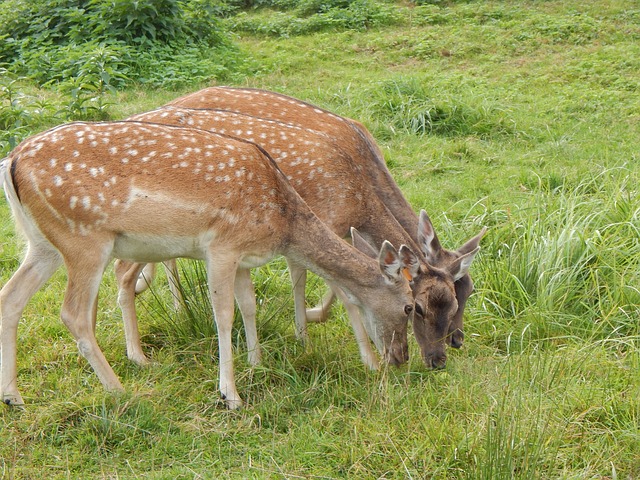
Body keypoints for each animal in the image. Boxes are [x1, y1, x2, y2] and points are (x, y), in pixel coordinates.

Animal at [0, 121, 420, 408]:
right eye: (409, 306)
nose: (401, 359)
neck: (282, 220)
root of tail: (11, 161)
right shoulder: (221, 246)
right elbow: (224, 314)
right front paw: (230, 394)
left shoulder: (244, 258)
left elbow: (249, 305)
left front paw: (256, 364)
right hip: (84, 239)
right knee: (73, 313)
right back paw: (119, 389)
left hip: (43, 244)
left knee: (11, 297)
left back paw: (13, 396)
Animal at [117, 107, 480, 370]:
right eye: (416, 307)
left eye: (462, 297)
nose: (442, 356)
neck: (356, 199)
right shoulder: (322, 222)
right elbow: (332, 288)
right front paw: (333, 340)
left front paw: (303, 331)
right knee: (125, 269)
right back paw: (143, 343)